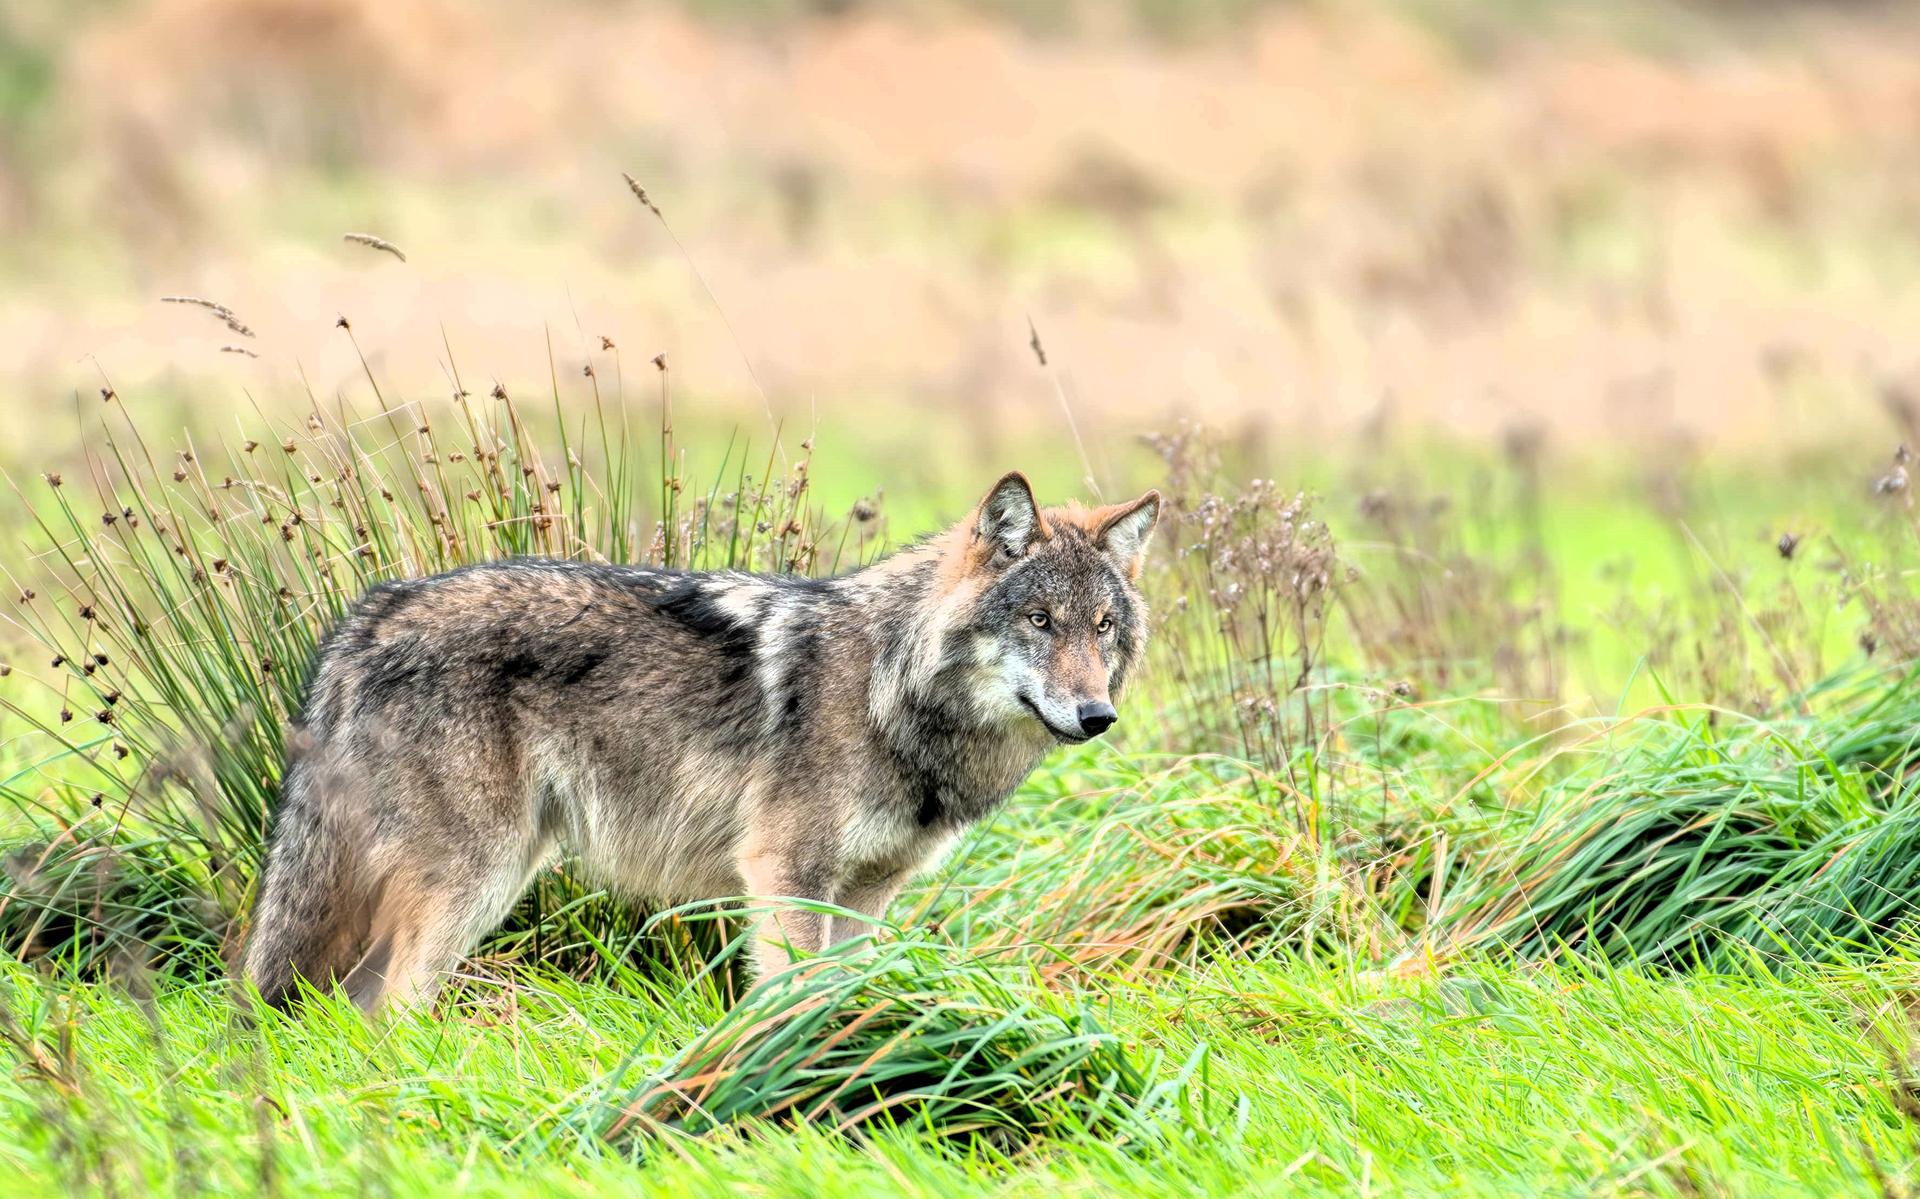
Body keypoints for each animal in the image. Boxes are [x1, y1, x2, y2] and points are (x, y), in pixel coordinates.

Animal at [241, 472, 1159, 1010]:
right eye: (1038, 620)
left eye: (1102, 627)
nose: (1096, 715)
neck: (891, 686)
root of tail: (371, 612)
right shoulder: (784, 875)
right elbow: (793, 994)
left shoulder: (863, 895)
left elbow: (837, 996)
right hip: (475, 880)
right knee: (390, 1004)